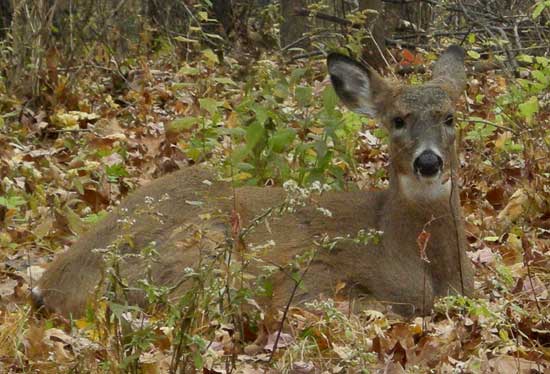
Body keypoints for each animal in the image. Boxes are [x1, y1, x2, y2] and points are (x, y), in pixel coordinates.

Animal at [32, 45, 476, 322]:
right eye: (397, 120)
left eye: (450, 117)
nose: (429, 162)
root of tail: (52, 281)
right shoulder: (311, 276)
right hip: (203, 246)